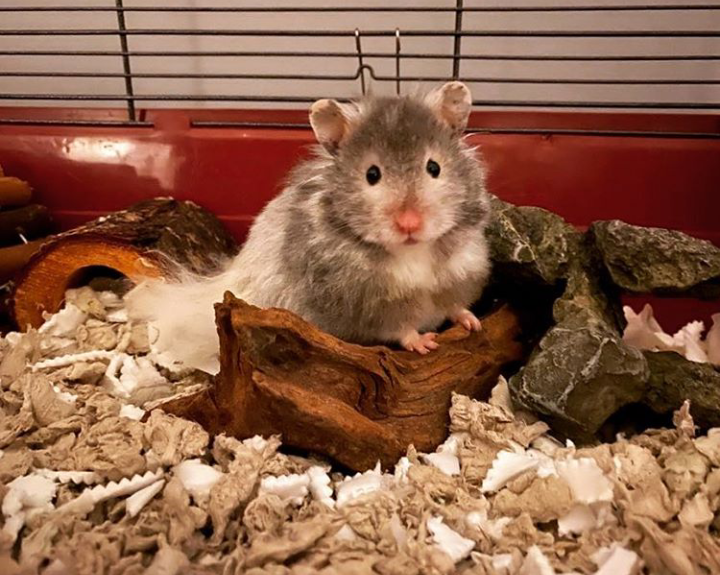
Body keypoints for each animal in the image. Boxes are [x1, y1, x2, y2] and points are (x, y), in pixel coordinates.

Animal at [126, 81, 491, 374]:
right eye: (372, 174)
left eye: (434, 167)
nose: (409, 224)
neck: (412, 250)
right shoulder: (367, 304)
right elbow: (400, 328)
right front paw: (425, 343)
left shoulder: (461, 271)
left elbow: (456, 305)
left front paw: (473, 324)